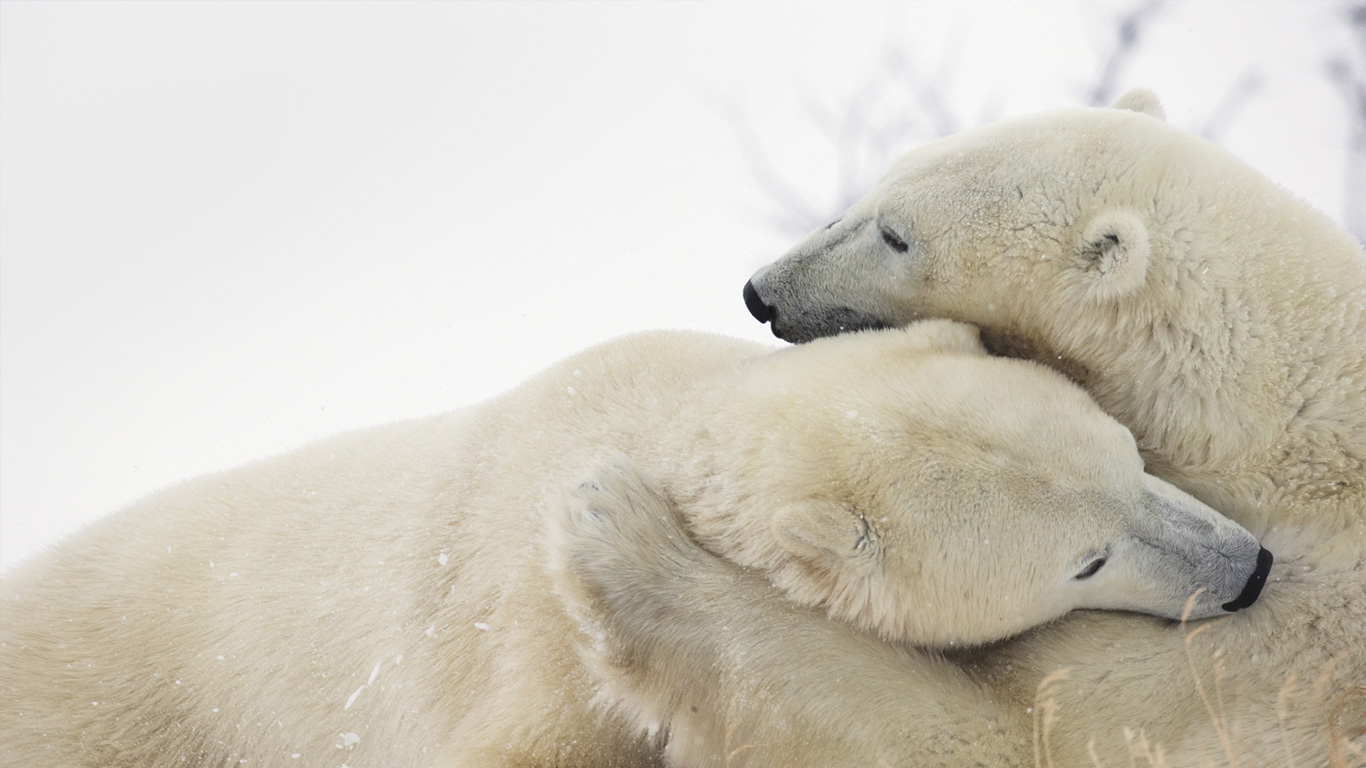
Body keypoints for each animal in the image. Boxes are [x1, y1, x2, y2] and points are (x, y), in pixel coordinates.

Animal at [587, 88, 1363, 765]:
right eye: (882, 179)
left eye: (896, 234)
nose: (761, 292)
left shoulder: (1278, 653)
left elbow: (992, 733)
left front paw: (626, 538)